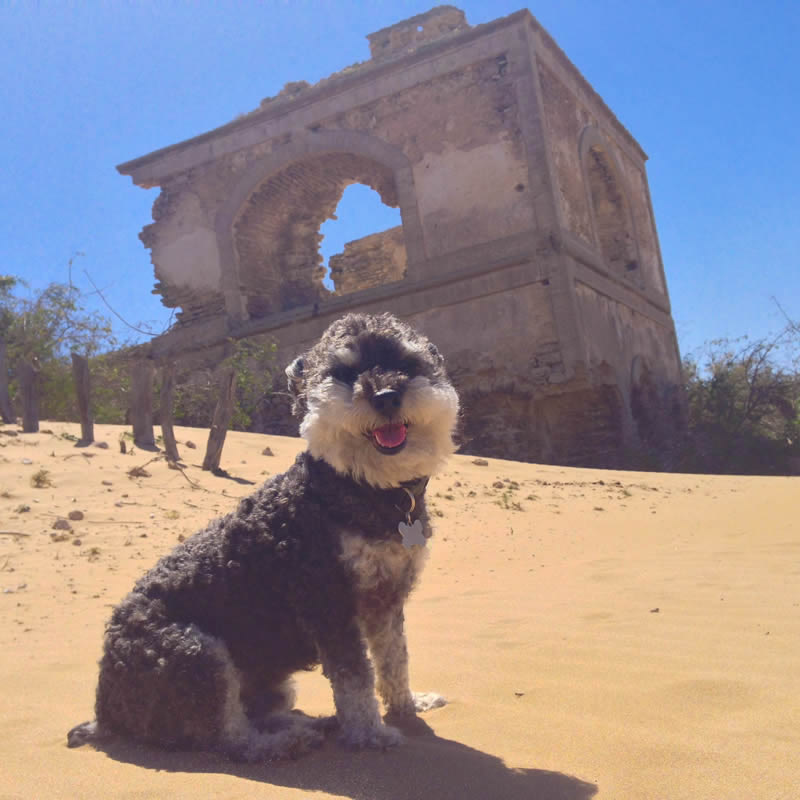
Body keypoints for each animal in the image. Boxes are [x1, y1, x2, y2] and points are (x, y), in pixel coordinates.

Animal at [67, 312, 459, 761]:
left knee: (255, 714)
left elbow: (395, 660)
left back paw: (307, 724)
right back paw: (285, 741)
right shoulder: (328, 602)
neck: (362, 486)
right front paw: (370, 734)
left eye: (409, 363)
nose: (388, 396)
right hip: (197, 654)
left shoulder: (386, 601)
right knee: (229, 738)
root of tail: (105, 713)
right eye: (342, 372)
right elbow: (354, 678)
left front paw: (409, 706)